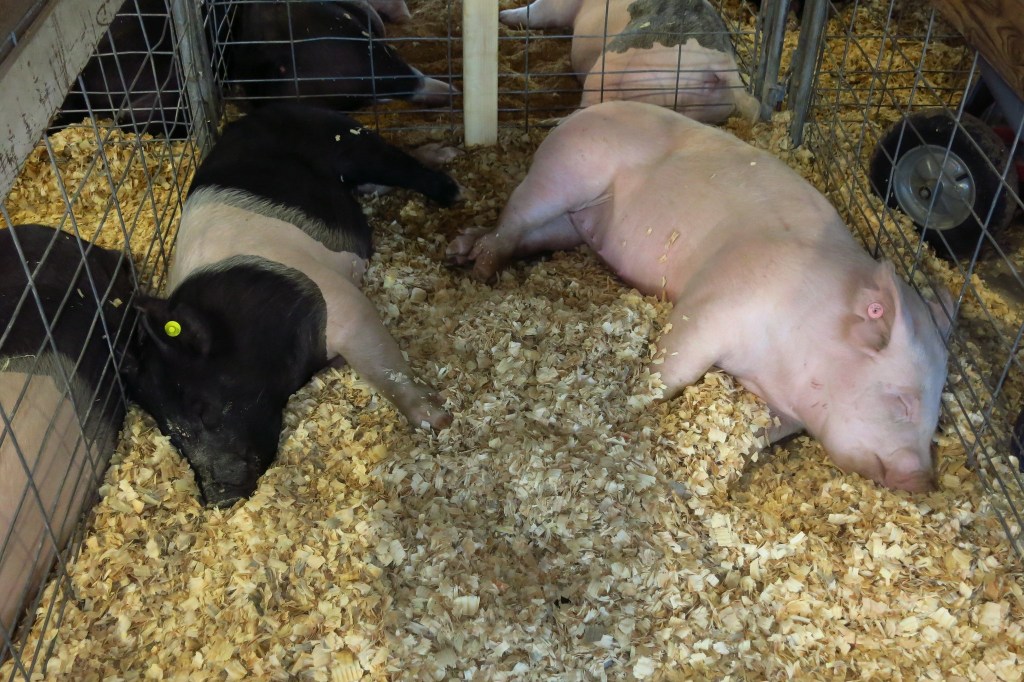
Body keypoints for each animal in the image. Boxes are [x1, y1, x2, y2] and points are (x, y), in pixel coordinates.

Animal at [123, 102, 459, 507]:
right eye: (169, 431)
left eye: (203, 409)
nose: (219, 497)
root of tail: (274, 107)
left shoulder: (341, 302)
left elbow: (382, 363)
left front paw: (438, 420)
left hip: (346, 140)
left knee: (395, 161)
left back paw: (451, 184)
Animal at [447, 101, 952, 492]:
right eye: (903, 401)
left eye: (936, 417)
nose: (923, 482)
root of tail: (583, 111)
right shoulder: (719, 302)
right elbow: (673, 367)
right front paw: (633, 406)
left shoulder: (784, 409)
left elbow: (757, 432)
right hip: (566, 170)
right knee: (516, 215)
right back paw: (481, 270)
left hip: (572, 224)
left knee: (525, 234)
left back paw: (460, 250)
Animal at [500, 0, 763, 123]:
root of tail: (722, 64)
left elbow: (535, 12)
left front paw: (502, 15)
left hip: (612, 62)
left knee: (588, 106)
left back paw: (551, 121)